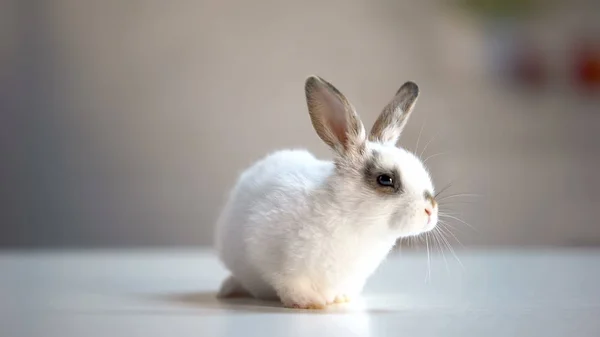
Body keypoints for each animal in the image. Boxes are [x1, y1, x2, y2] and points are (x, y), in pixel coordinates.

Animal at [213, 75, 438, 308]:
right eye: (386, 179)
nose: (431, 210)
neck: (353, 218)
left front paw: (340, 299)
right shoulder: (278, 260)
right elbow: (290, 285)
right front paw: (311, 303)